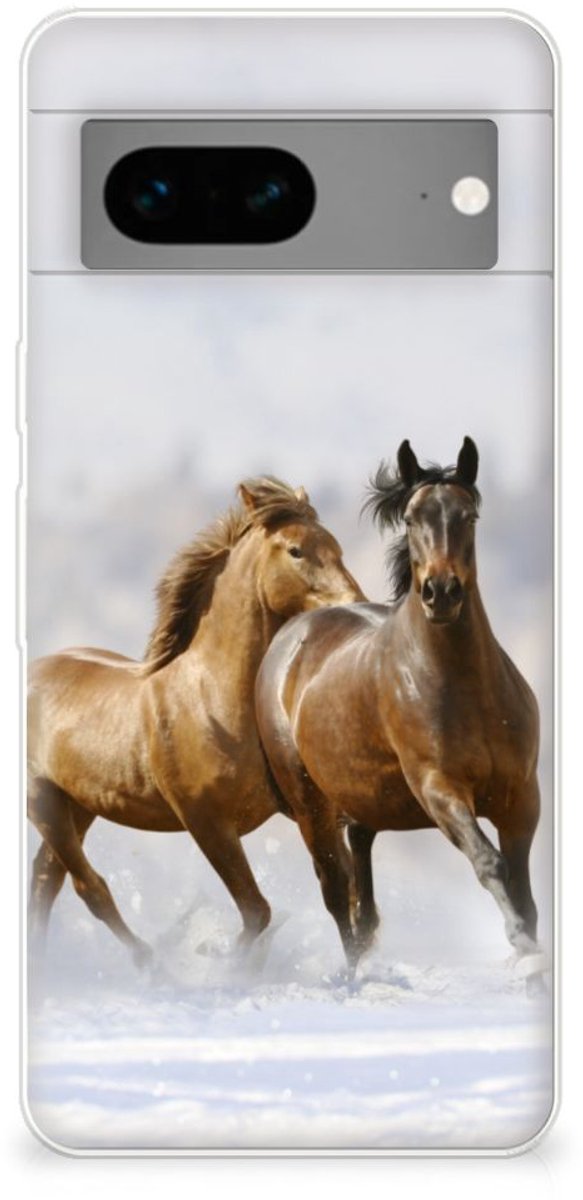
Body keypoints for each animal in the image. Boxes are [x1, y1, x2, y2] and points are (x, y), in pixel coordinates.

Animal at [28, 477, 364, 965]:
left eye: (336, 546)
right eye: (296, 550)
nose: (356, 605)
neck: (212, 701)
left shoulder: (308, 809)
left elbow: (339, 888)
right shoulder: (206, 822)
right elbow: (257, 911)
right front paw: (220, 960)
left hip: (79, 804)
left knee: (44, 879)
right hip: (43, 801)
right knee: (88, 887)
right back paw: (151, 963)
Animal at [255, 439, 542, 975]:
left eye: (469, 515)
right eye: (410, 518)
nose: (441, 592)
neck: (466, 690)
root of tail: (290, 636)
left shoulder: (521, 798)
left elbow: (524, 891)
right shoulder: (439, 789)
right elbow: (490, 863)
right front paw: (523, 949)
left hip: (362, 802)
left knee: (361, 894)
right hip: (310, 805)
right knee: (336, 892)